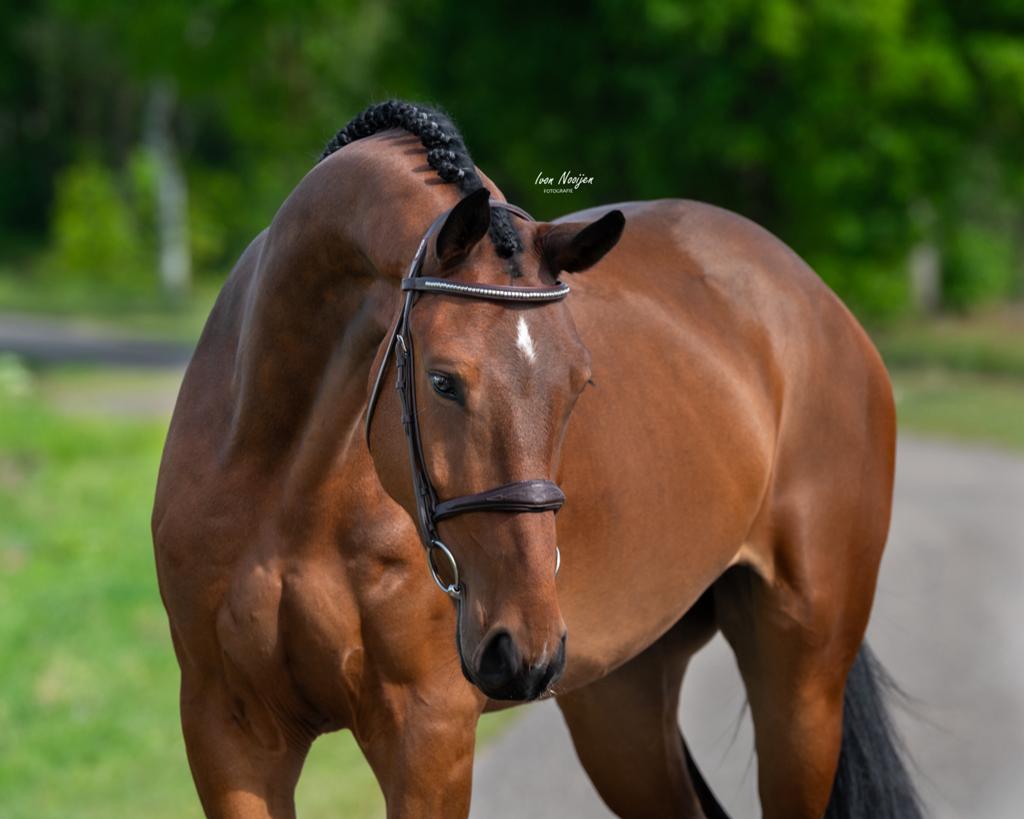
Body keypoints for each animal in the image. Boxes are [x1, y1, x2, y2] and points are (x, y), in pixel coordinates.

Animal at [153, 101, 922, 819]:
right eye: (442, 381)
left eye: (579, 383)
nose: (521, 646)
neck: (289, 486)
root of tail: (814, 298)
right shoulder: (229, 733)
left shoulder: (426, 734)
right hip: (622, 698)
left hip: (802, 683)